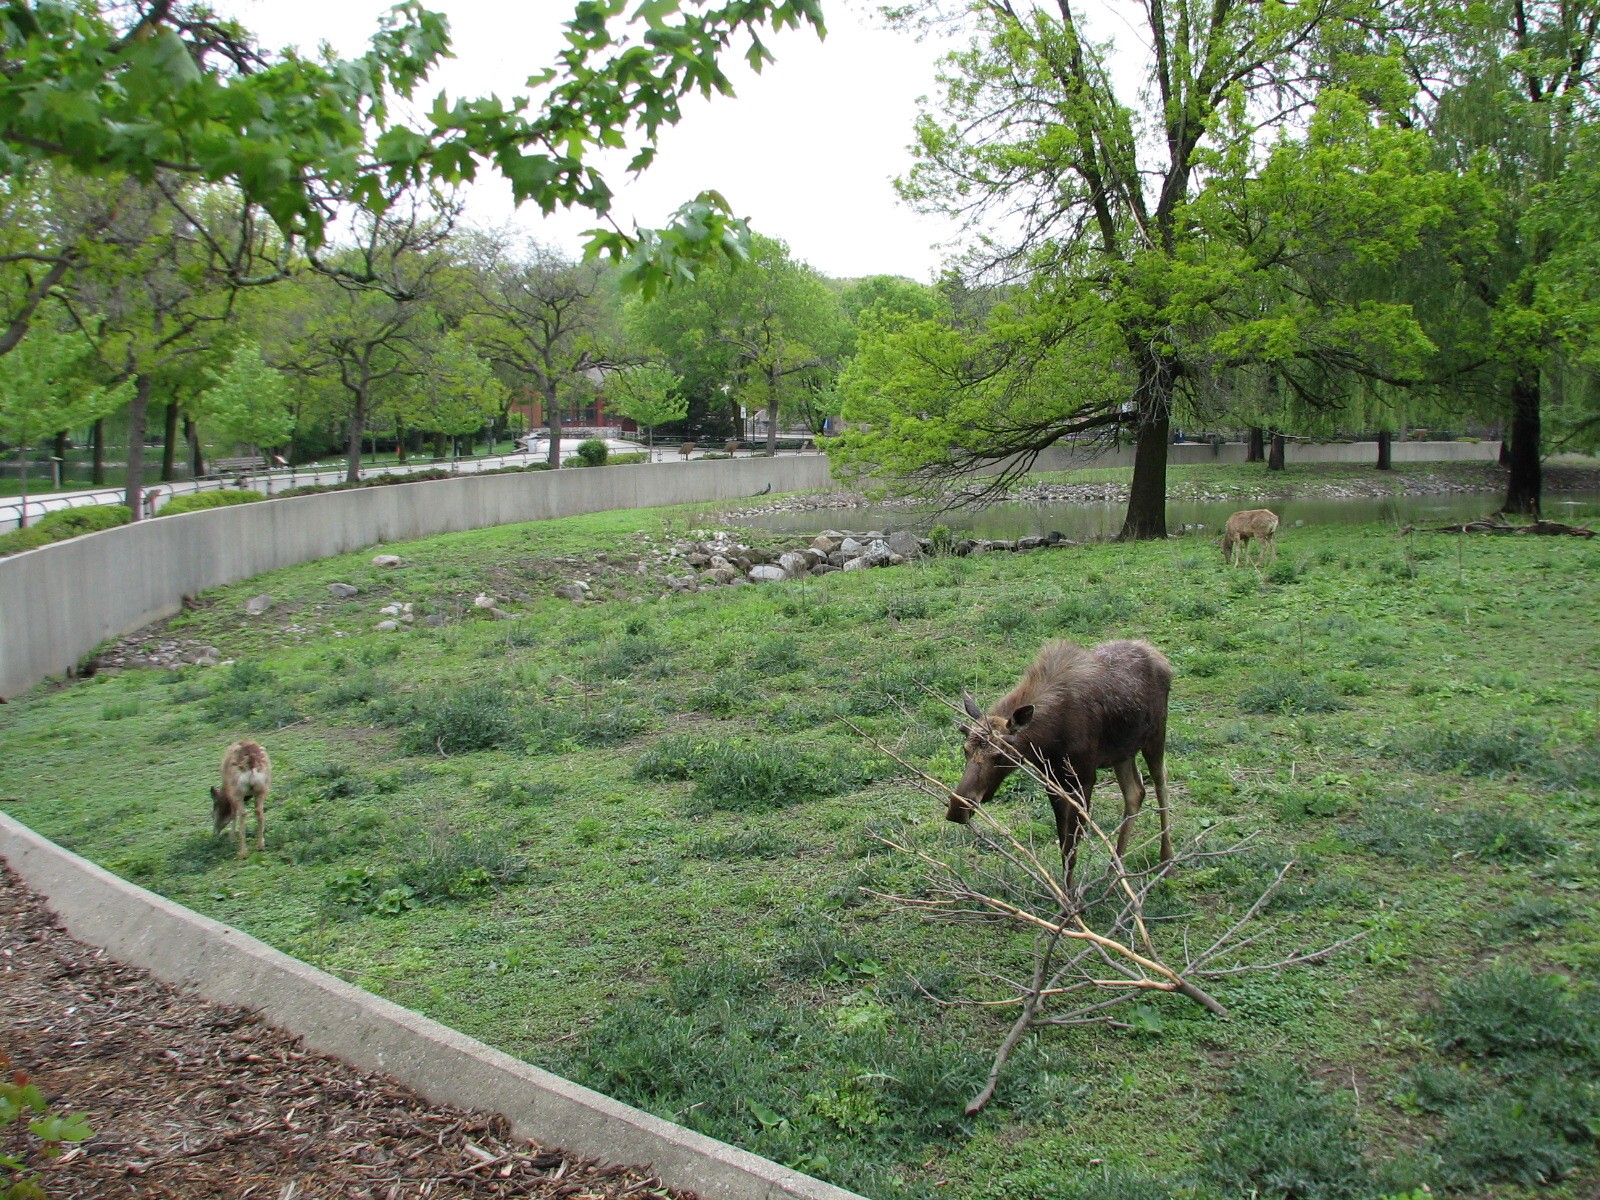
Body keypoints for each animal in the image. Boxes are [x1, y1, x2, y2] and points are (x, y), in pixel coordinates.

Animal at [951, 639, 1174, 884]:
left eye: (1001, 755)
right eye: (965, 749)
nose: (957, 808)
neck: (1048, 741)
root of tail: (1161, 658)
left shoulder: (1084, 780)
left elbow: (1071, 850)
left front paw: (1071, 894)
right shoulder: (1052, 782)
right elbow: (1063, 849)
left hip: (1155, 735)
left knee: (1161, 783)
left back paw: (1166, 860)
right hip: (1123, 750)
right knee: (1135, 792)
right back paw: (1114, 871)